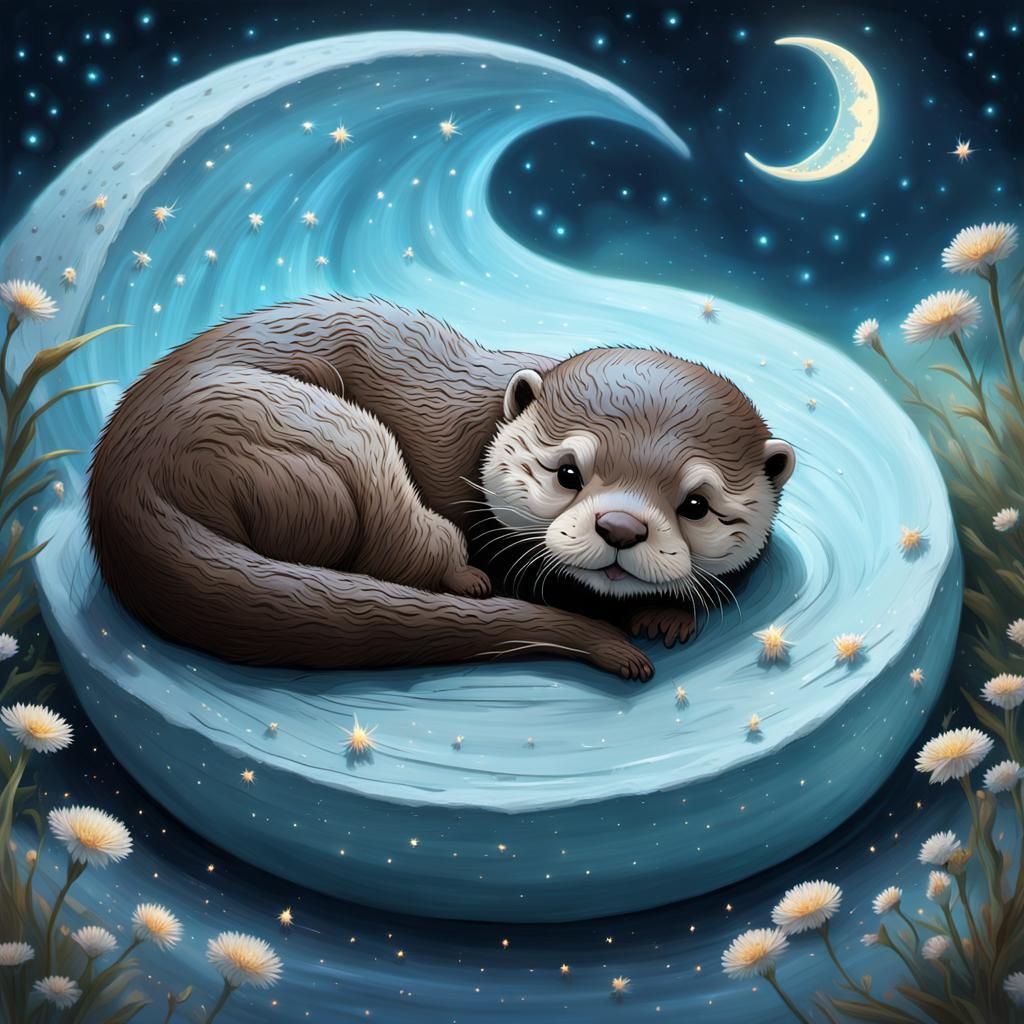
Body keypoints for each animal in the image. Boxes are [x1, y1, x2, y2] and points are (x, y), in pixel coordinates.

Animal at [87, 295, 795, 680]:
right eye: (567, 472)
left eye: (696, 504)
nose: (620, 528)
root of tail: (123, 476)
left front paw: (667, 614)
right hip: (325, 437)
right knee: (400, 543)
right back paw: (465, 579)